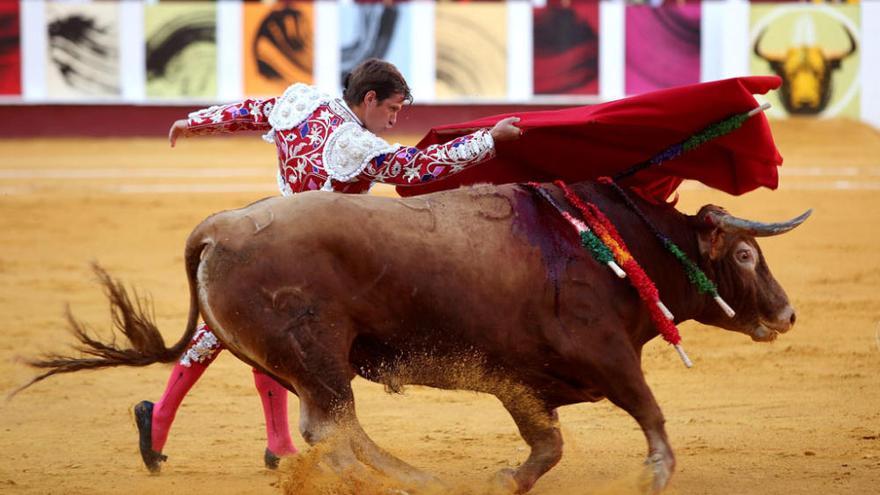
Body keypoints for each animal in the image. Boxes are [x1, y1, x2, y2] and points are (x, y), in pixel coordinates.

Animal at [24, 181, 812, 492]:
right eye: (747, 255)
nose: (787, 315)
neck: (610, 247)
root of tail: (219, 225)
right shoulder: (609, 357)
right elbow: (650, 413)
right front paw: (654, 474)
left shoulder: (518, 380)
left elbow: (548, 445)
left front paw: (504, 479)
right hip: (317, 353)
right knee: (333, 427)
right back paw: (412, 479)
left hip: (301, 361)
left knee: (325, 427)